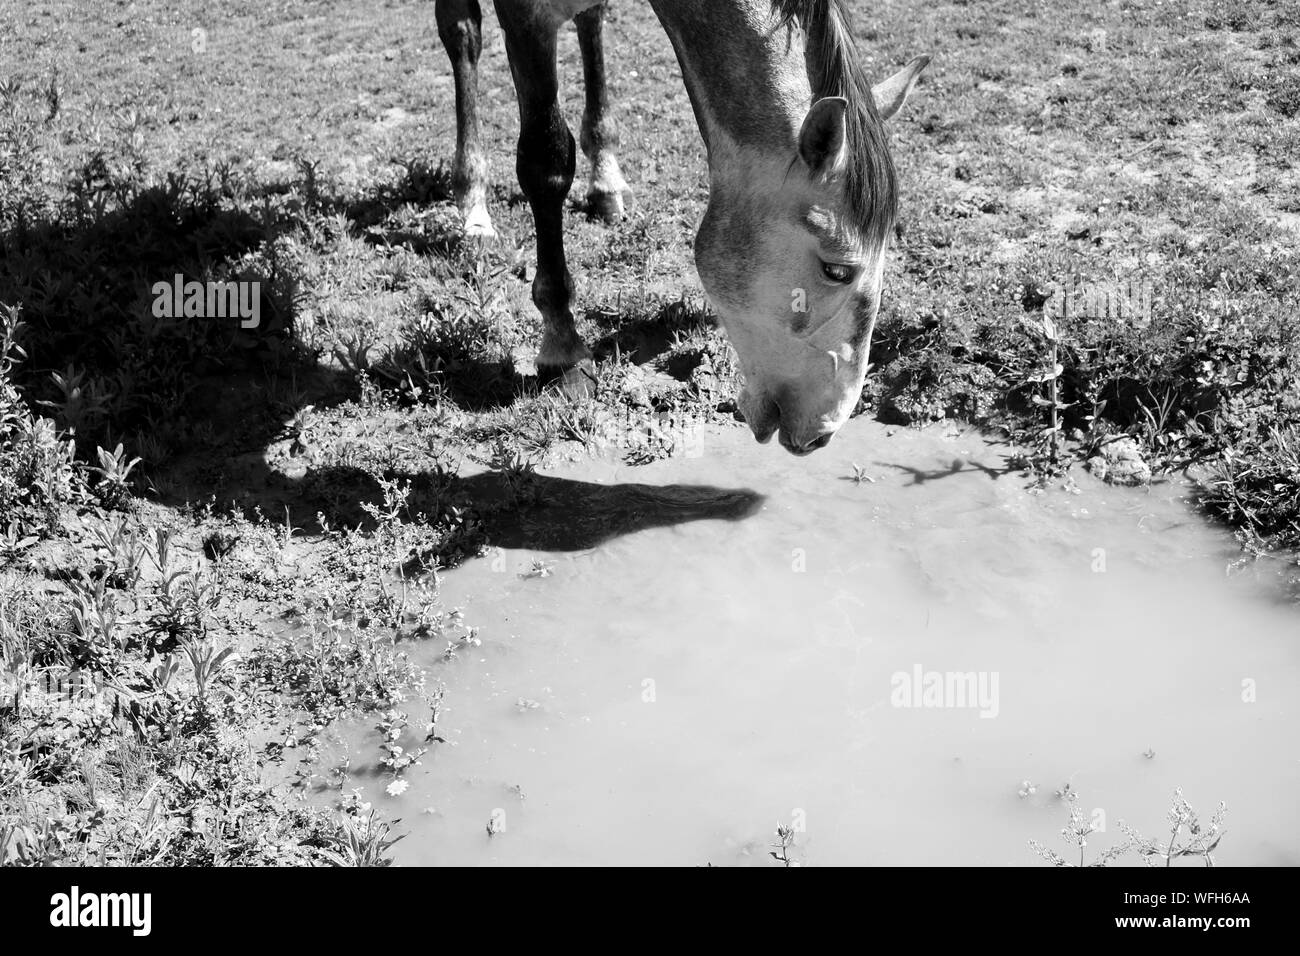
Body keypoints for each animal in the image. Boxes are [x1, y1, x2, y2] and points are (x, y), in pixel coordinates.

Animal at [435, 0, 928, 454]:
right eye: (837, 270)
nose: (824, 432)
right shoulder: (524, 18)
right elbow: (546, 162)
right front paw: (563, 348)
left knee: (589, 21)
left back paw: (605, 181)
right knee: (463, 35)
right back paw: (472, 204)